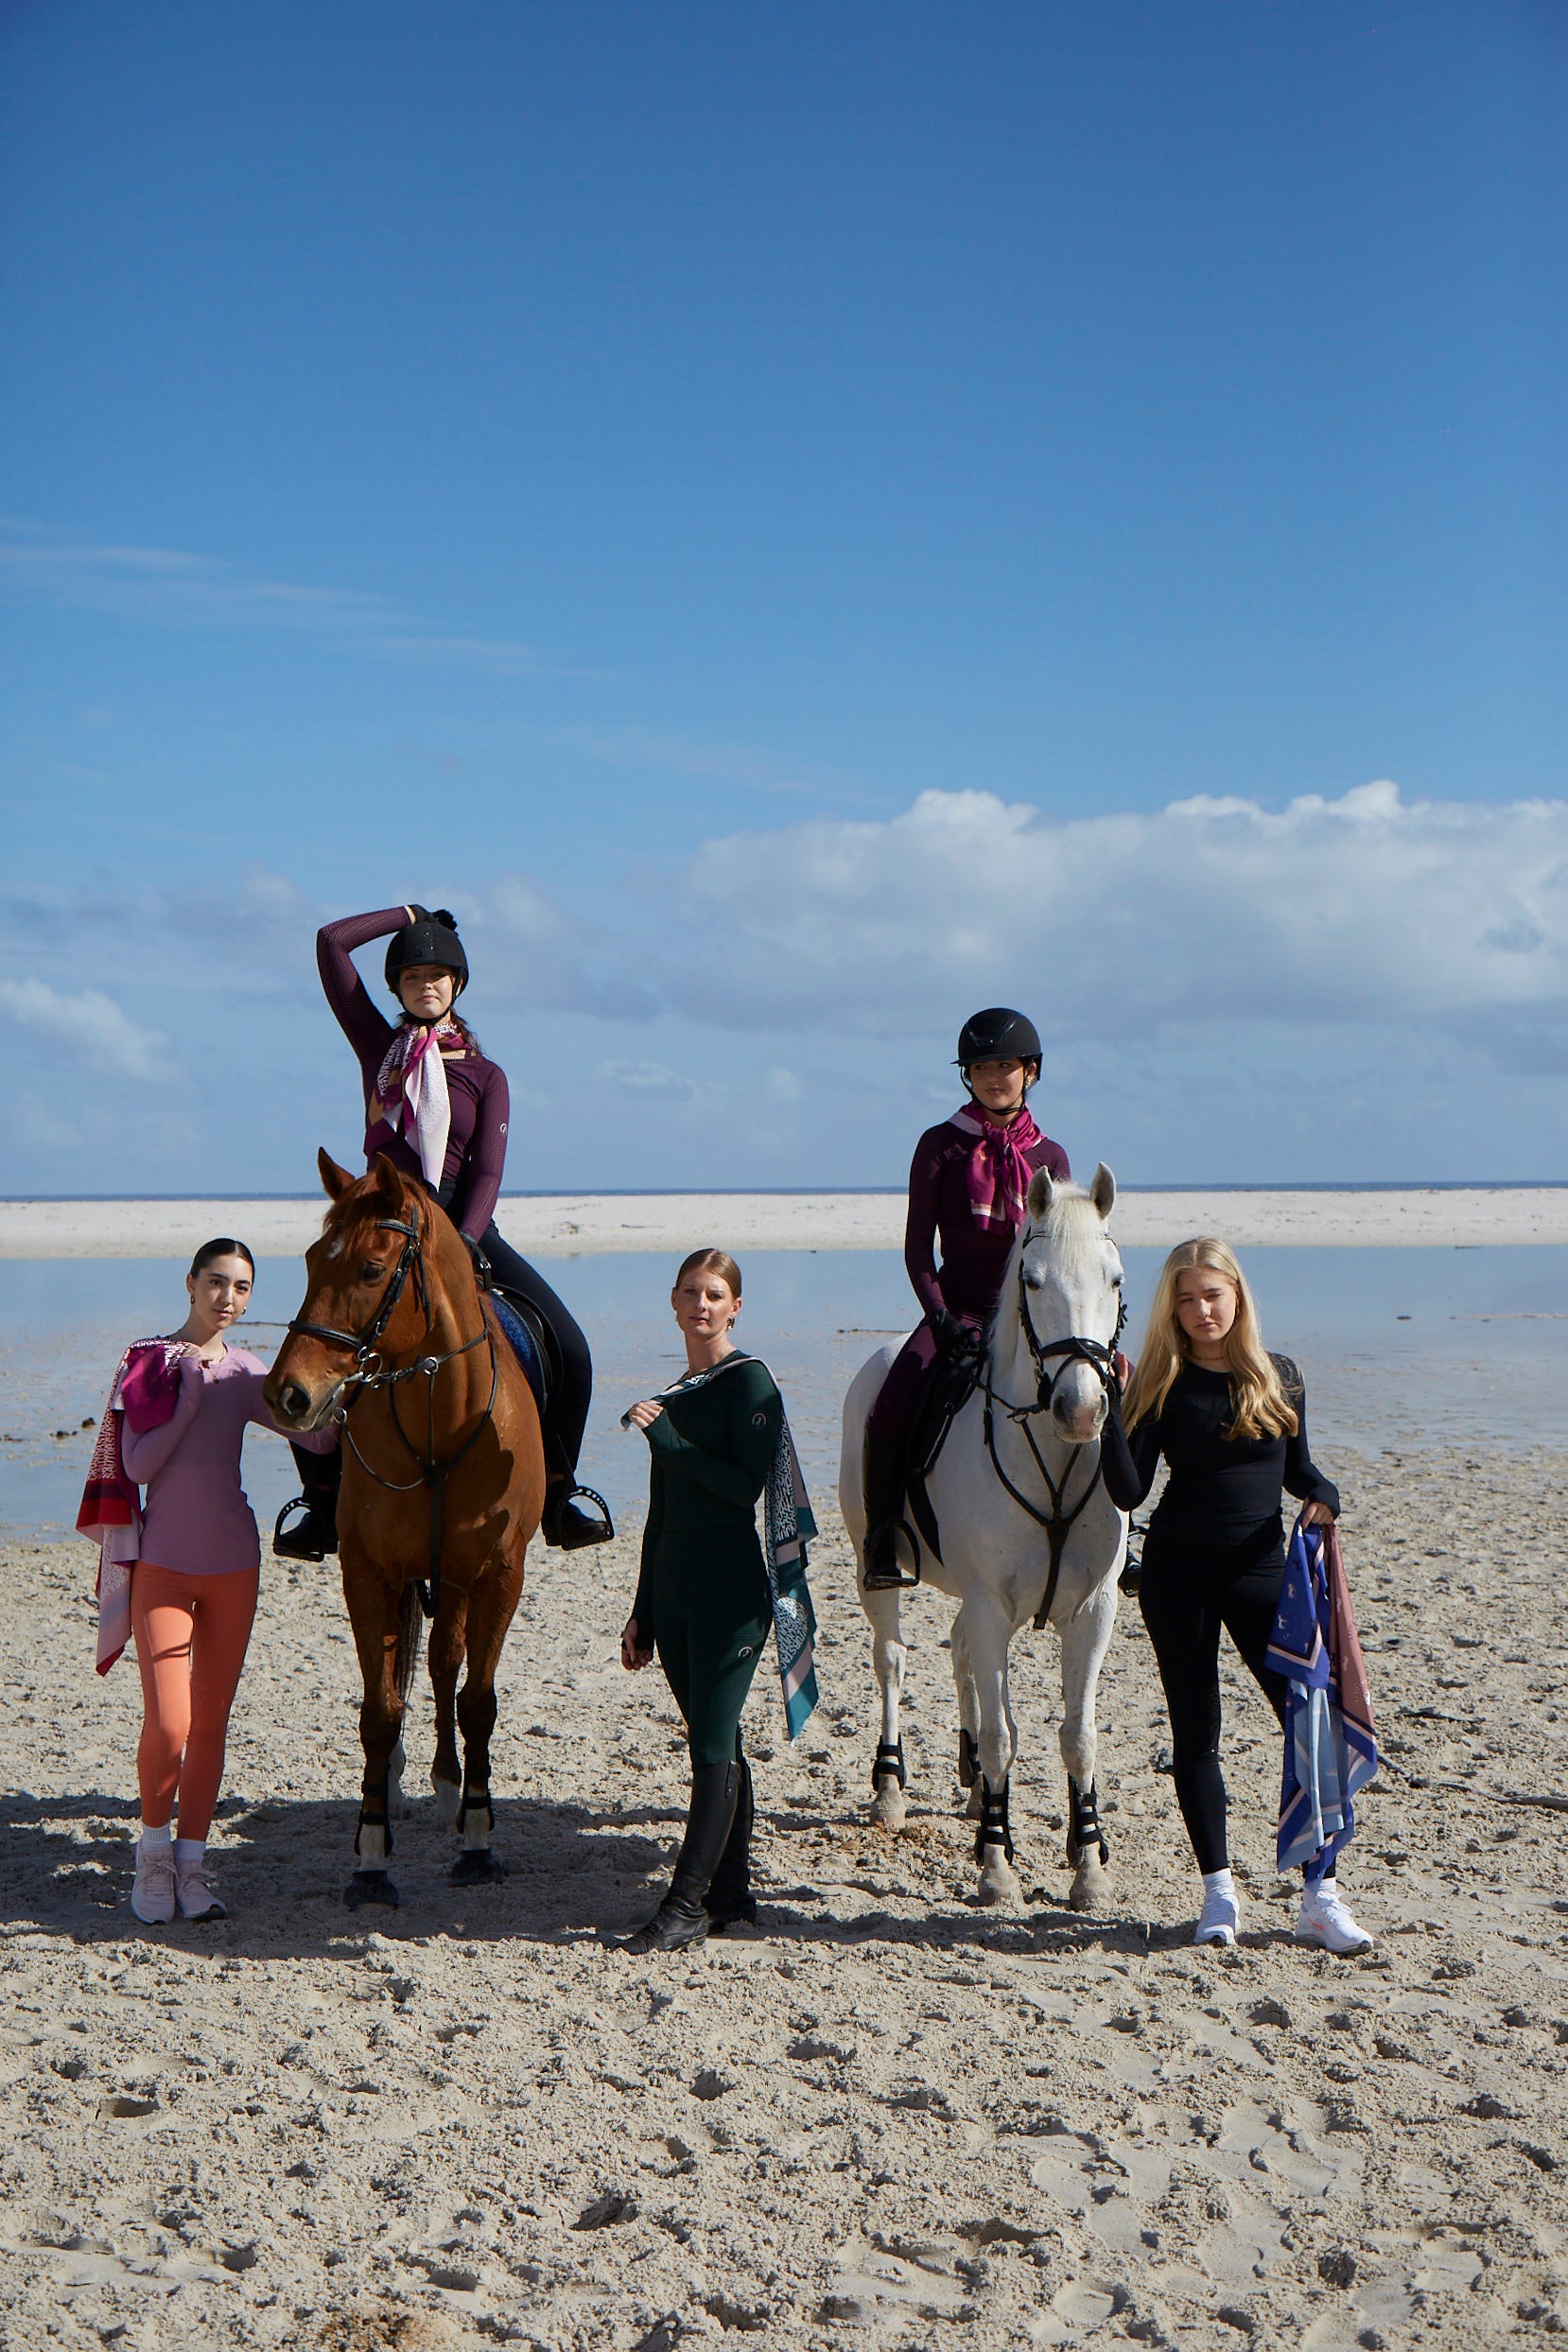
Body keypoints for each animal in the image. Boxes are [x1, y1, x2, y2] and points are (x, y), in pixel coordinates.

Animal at [263, 1152, 545, 1909]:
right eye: (310, 1260)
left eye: (369, 1269)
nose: (287, 1395)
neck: (438, 1424)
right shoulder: (367, 1573)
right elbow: (380, 1708)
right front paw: (370, 1855)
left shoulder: (499, 1572)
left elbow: (477, 1700)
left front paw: (477, 1835)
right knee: (407, 1672)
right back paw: (394, 1779)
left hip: (455, 1579)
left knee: (446, 1662)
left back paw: (448, 1784)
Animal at [845, 1171, 1128, 1909]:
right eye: (1031, 1279)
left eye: (1115, 1278)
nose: (1081, 1409)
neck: (1053, 1462)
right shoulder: (992, 1605)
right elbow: (1005, 1737)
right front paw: (997, 1865)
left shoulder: (1093, 1610)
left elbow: (1079, 1735)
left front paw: (1089, 1864)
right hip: (873, 1566)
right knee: (893, 1658)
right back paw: (891, 1788)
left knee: (960, 1653)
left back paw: (975, 1787)